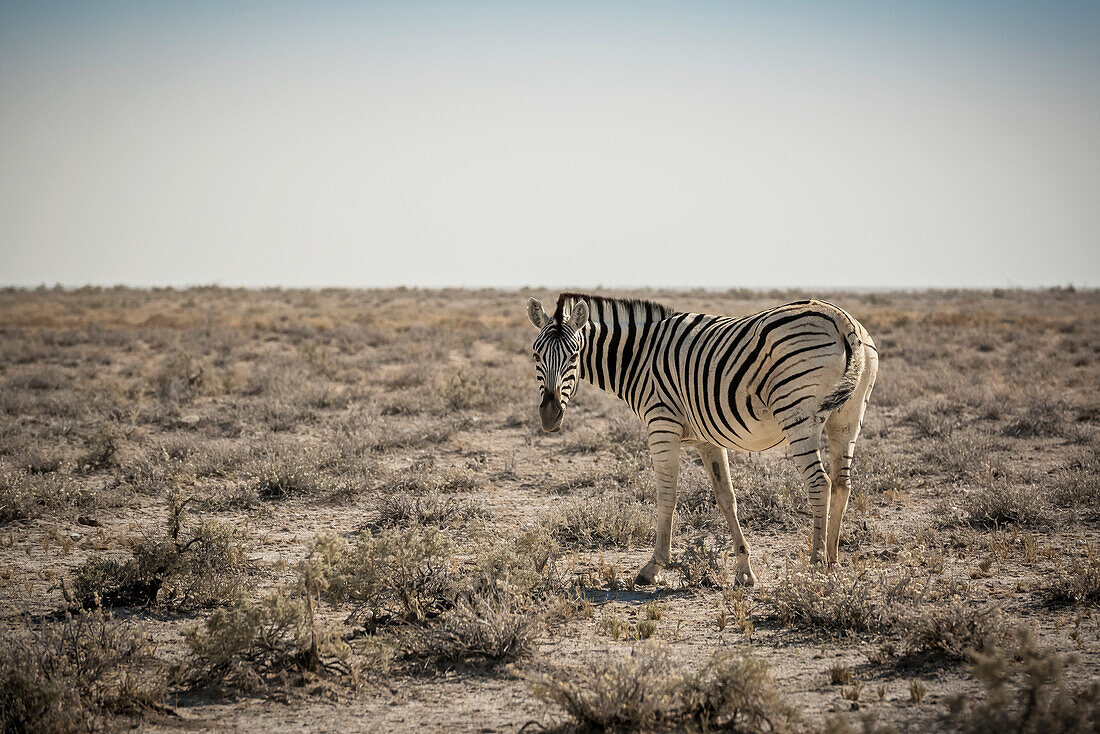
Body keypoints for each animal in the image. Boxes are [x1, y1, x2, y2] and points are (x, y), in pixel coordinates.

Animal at [528, 292, 880, 585]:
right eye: (535, 356)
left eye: (574, 355)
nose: (549, 416)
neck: (638, 358)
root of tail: (841, 319)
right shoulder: (708, 439)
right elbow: (727, 498)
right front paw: (744, 570)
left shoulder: (661, 425)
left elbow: (666, 497)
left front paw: (654, 567)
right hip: (847, 419)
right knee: (842, 484)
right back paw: (833, 562)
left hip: (797, 414)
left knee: (820, 483)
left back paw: (816, 565)